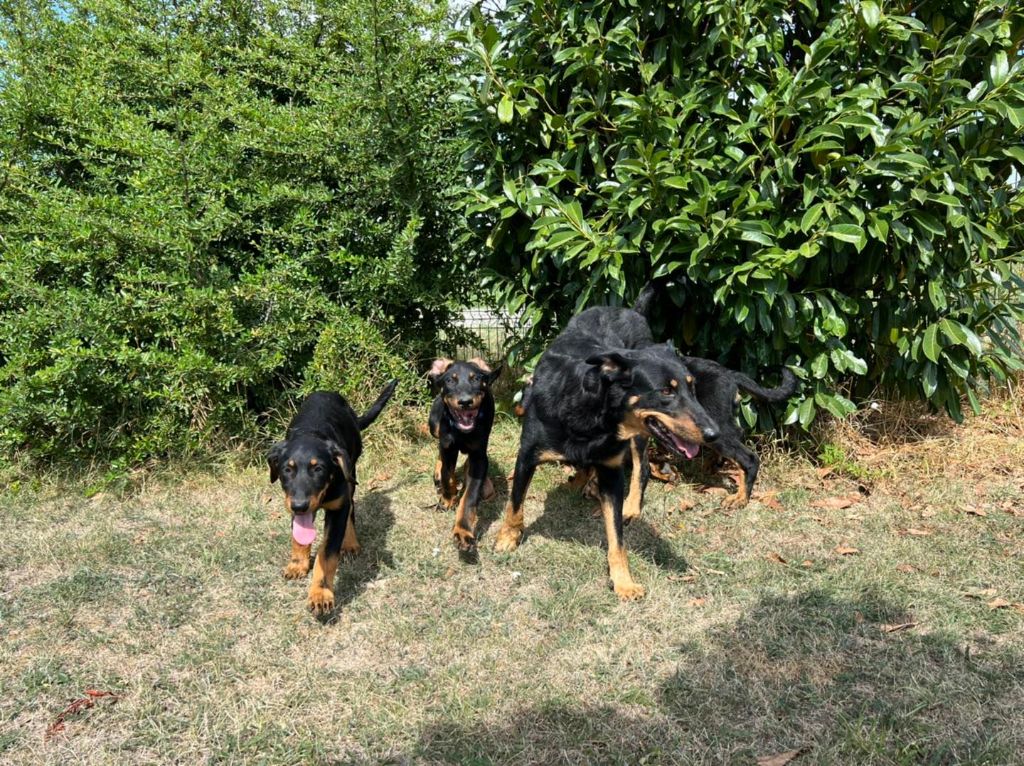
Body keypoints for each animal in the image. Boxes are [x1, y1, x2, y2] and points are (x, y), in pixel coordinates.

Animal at [268, 383, 395, 614]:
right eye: (287, 469)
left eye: (318, 468)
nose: (300, 506)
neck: (311, 432)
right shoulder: (292, 501)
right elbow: (299, 536)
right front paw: (298, 564)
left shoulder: (337, 507)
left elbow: (327, 553)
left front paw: (320, 594)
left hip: (351, 472)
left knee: (351, 507)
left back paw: (350, 543)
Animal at [425, 356, 501, 552]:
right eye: (450, 380)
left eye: (477, 379)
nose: (465, 402)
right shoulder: (448, 445)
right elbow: (446, 473)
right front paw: (447, 499)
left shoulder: (479, 457)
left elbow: (469, 497)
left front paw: (463, 533)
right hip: (434, 426)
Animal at [489, 303, 716, 598]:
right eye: (666, 391)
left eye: (693, 387)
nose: (713, 434)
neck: (592, 410)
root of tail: (629, 308)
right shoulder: (527, 455)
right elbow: (515, 503)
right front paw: (508, 537)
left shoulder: (611, 471)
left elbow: (617, 537)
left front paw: (623, 581)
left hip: (639, 435)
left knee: (642, 467)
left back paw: (628, 504)